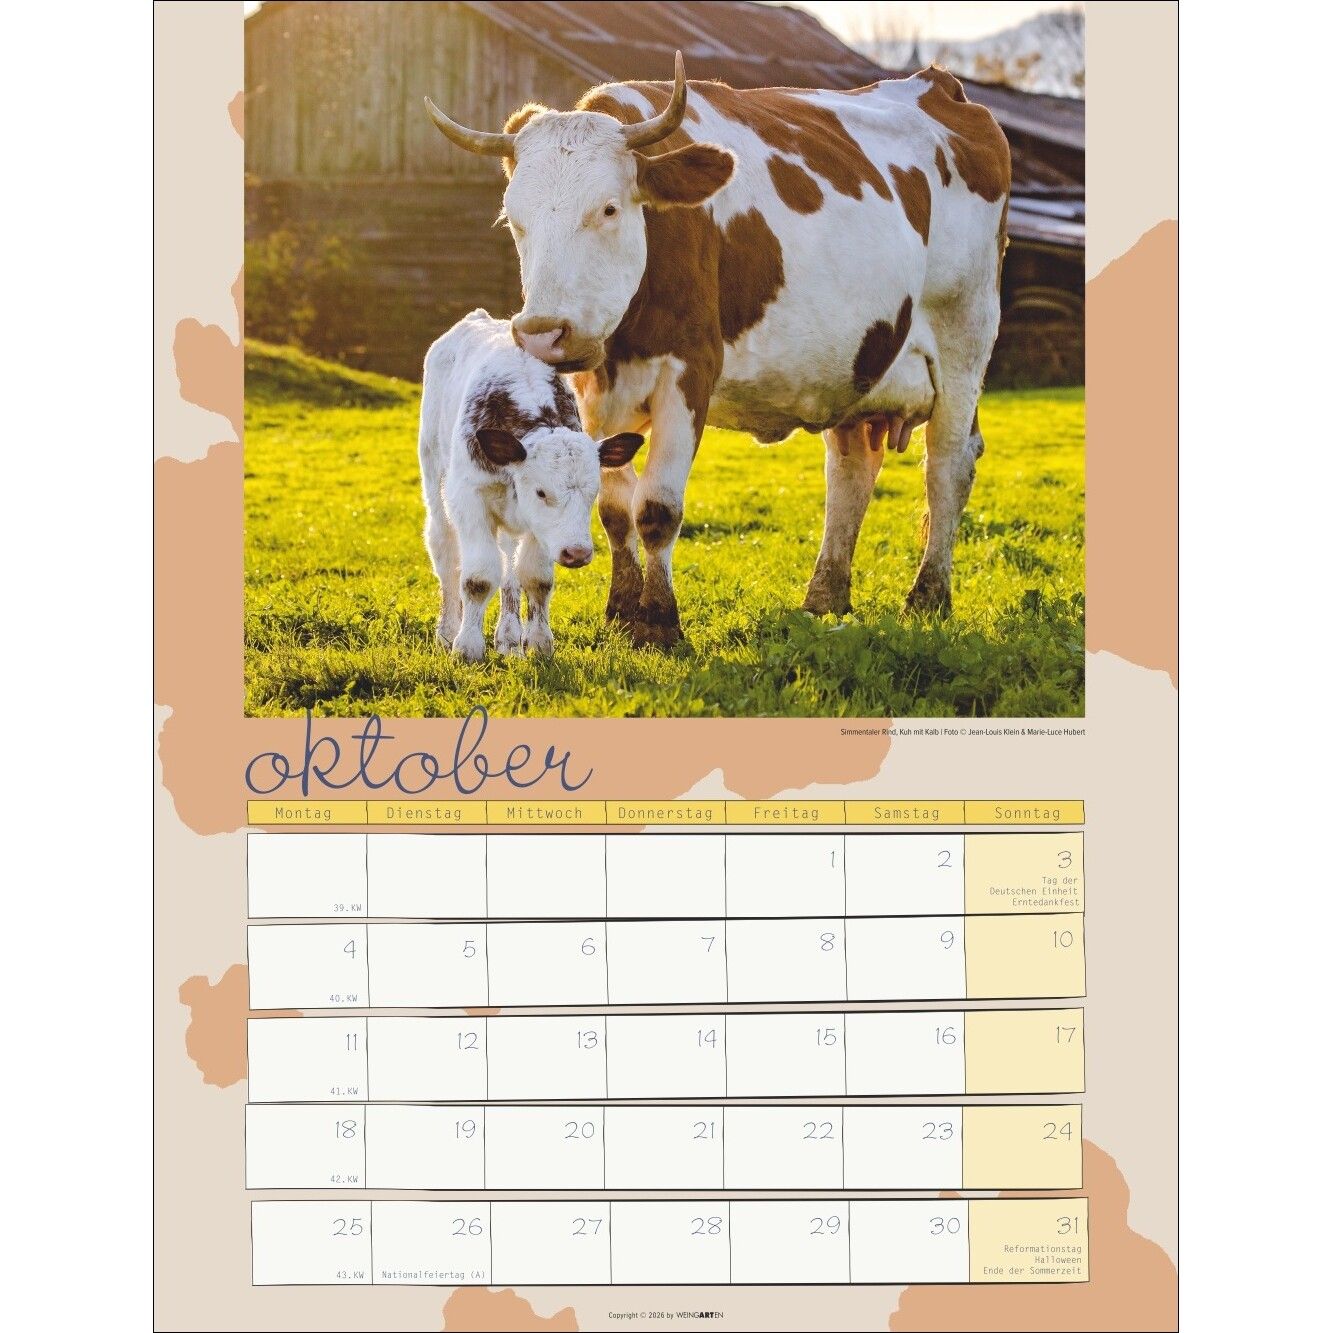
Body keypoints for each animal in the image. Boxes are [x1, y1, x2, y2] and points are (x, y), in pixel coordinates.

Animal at [419, 310, 643, 661]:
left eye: (592, 494)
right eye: (541, 492)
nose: (577, 552)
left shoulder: (539, 526)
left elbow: (535, 578)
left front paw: (538, 643)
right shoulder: (469, 498)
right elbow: (479, 576)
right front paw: (467, 647)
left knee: (509, 563)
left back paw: (509, 639)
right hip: (433, 471)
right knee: (445, 551)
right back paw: (447, 631)